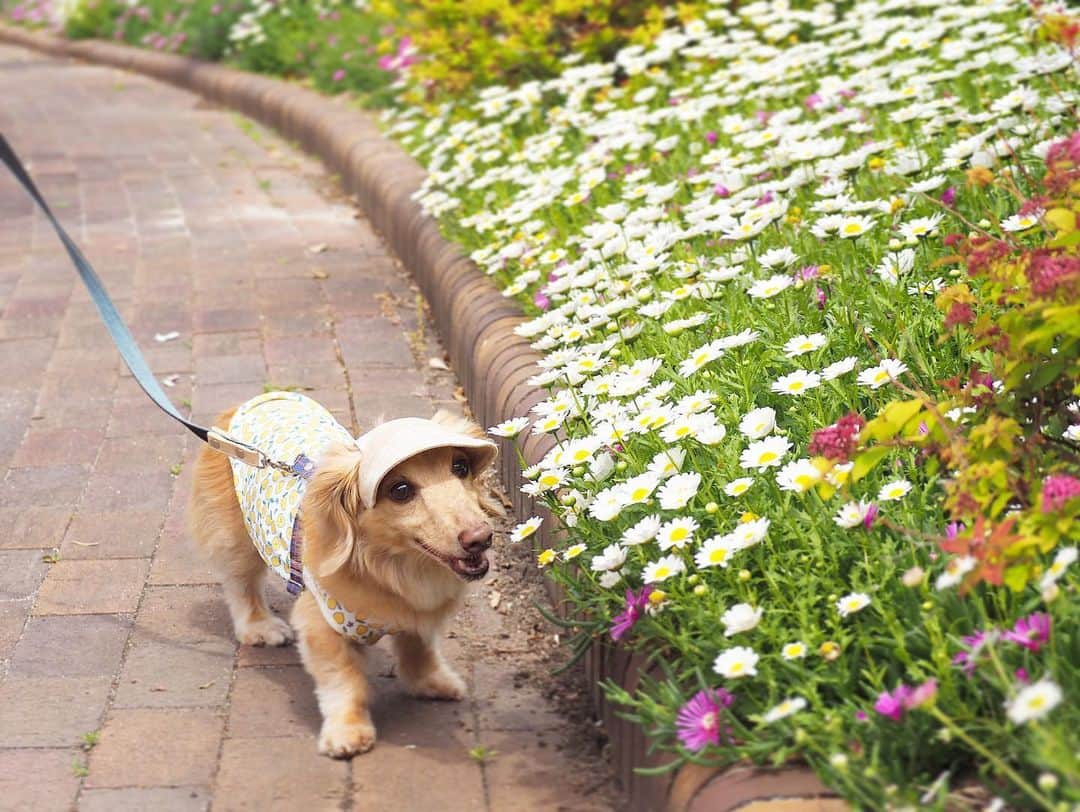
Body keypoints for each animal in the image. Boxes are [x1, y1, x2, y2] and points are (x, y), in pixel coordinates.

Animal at [189, 390, 501, 760]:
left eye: (460, 467)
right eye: (400, 490)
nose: (480, 537)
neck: (392, 568)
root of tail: (255, 400)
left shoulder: (418, 615)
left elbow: (418, 648)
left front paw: (430, 681)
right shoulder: (322, 624)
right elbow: (344, 680)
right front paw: (347, 731)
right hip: (236, 538)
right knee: (242, 585)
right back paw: (259, 627)